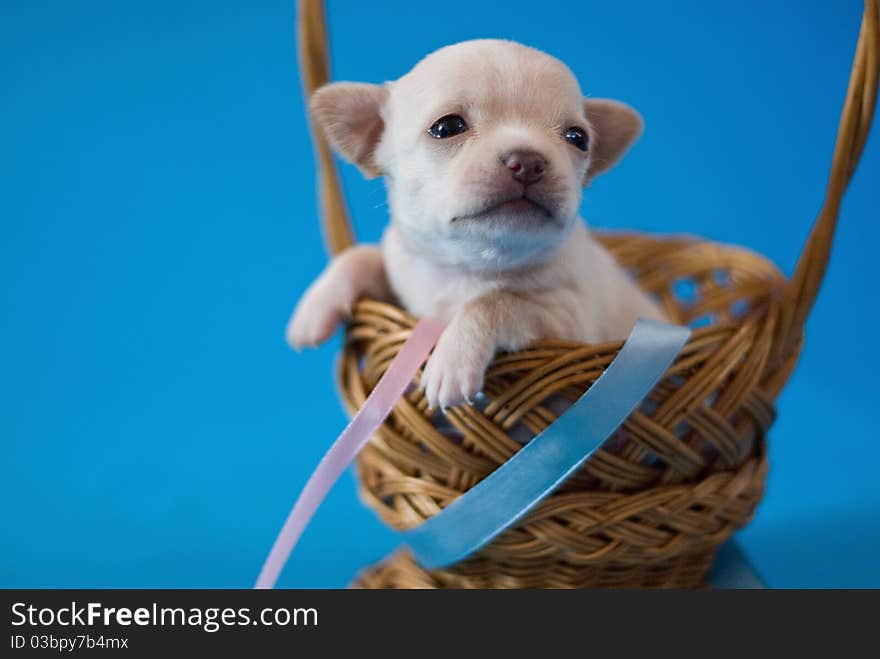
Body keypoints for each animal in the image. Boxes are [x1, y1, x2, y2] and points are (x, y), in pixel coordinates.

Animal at [286, 38, 664, 410]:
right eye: (447, 127)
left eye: (578, 138)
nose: (528, 160)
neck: (470, 267)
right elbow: (364, 255)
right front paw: (317, 304)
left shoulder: (570, 323)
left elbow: (494, 301)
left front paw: (452, 360)